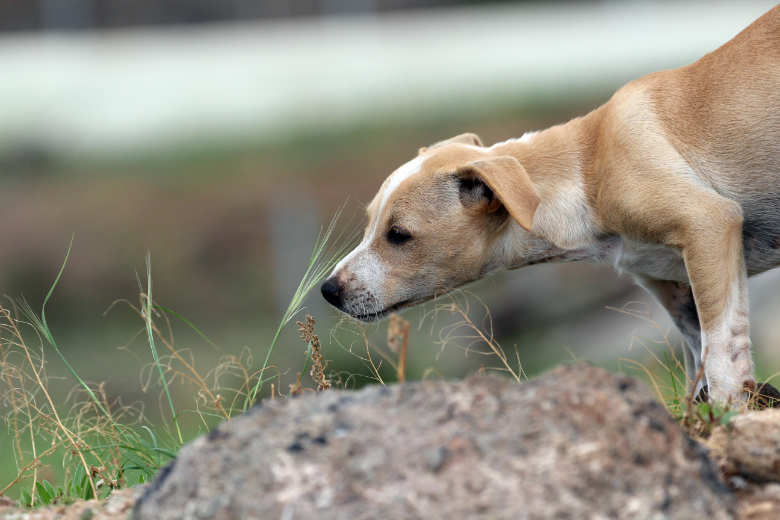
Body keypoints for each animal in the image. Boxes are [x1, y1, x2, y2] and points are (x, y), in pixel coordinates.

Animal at [321, 5, 780, 405]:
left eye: (399, 235)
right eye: (369, 224)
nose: (328, 290)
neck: (584, 167)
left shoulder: (709, 225)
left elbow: (722, 355)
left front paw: (729, 414)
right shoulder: (674, 283)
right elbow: (700, 360)